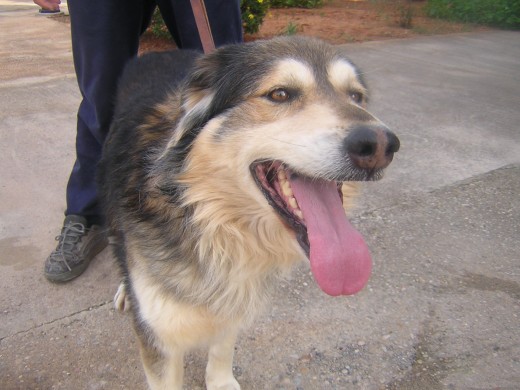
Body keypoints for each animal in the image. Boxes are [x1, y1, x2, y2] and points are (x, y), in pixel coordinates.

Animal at [99, 37, 400, 390]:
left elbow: (222, 347)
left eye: (356, 96)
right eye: (280, 94)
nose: (379, 145)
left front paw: (220, 381)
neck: (202, 218)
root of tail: (160, 52)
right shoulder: (158, 336)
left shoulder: (235, 299)